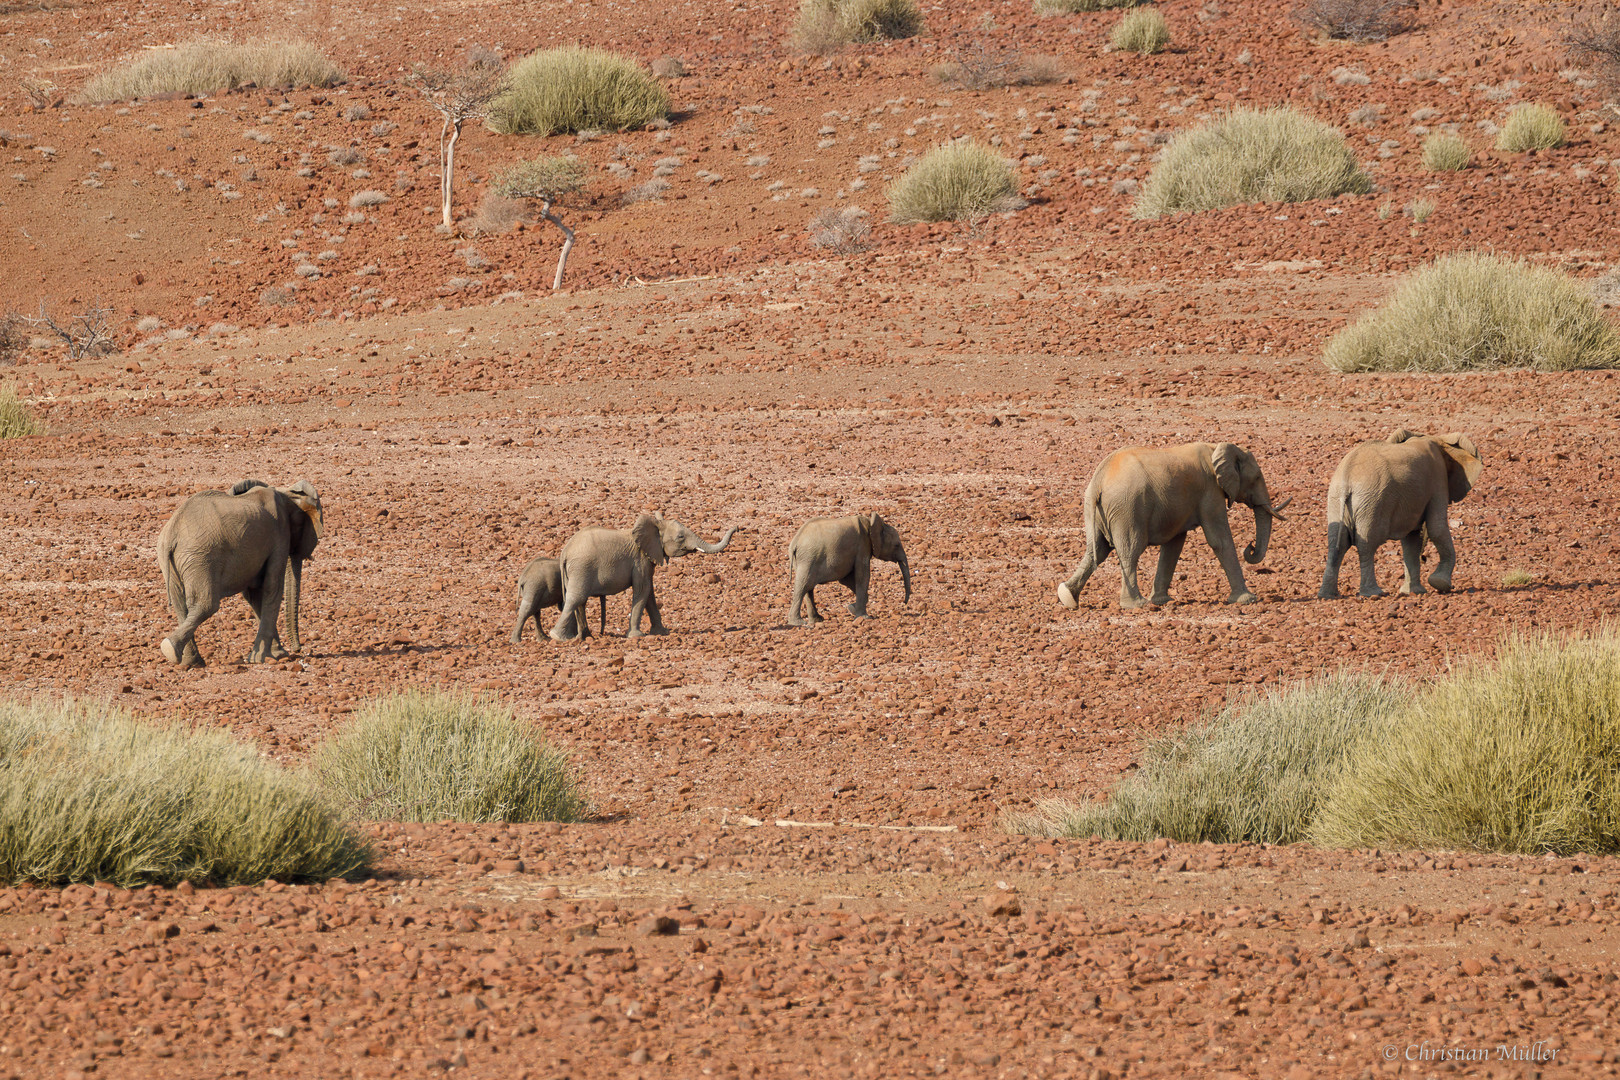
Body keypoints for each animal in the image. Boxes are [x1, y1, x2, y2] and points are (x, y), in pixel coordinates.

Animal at [156, 479, 324, 667]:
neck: (286, 493)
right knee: (207, 605)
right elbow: (272, 586)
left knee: (180, 606)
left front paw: (273, 654)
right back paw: (171, 649)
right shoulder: (280, 535)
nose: (297, 650)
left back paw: (191, 662)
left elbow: (254, 595)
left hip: (176, 561)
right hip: (200, 557)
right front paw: (270, 657)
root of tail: (172, 532)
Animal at [550, 514, 741, 641]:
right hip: (582, 568)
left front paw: (662, 632)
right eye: (680, 537)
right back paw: (558, 637)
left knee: (579, 602)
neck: (656, 525)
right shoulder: (640, 559)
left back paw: (586, 637)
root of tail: (565, 552)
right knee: (576, 598)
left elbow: (650, 593)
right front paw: (636, 636)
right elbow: (643, 589)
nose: (738, 527)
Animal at [1056, 440, 1296, 608]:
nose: (1251, 546)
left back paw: (1067, 597)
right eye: (1257, 478)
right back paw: (1135, 605)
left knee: (1095, 551)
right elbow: (1219, 541)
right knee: (1130, 551)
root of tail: (1099, 480)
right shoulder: (1210, 492)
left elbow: (1174, 545)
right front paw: (1248, 600)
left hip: (1096, 509)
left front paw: (1163, 601)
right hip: (1127, 508)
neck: (1217, 447)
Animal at [1315, 427, 1483, 599]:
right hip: (1371, 502)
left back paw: (1328, 595)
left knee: (1337, 544)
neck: (1436, 439)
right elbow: (1436, 528)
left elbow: (1411, 540)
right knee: (1366, 543)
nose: (1424, 558)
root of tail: (1347, 476)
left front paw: (1414, 592)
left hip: (1337, 500)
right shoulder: (1438, 479)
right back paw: (1374, 593)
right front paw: (1440, 583)